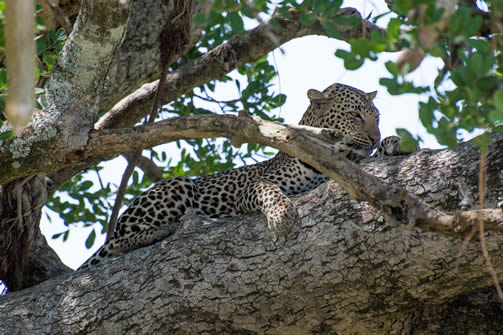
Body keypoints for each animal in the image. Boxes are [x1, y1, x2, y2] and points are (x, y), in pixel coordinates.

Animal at [79, 82, 394, 272]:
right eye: (355, 115)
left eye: (377, 117)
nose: (374, 137)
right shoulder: (252, 188)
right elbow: (268, 190)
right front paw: (282, 215)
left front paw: (392, 144)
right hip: (177, 184)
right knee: (117, 243)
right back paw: (167, 229)